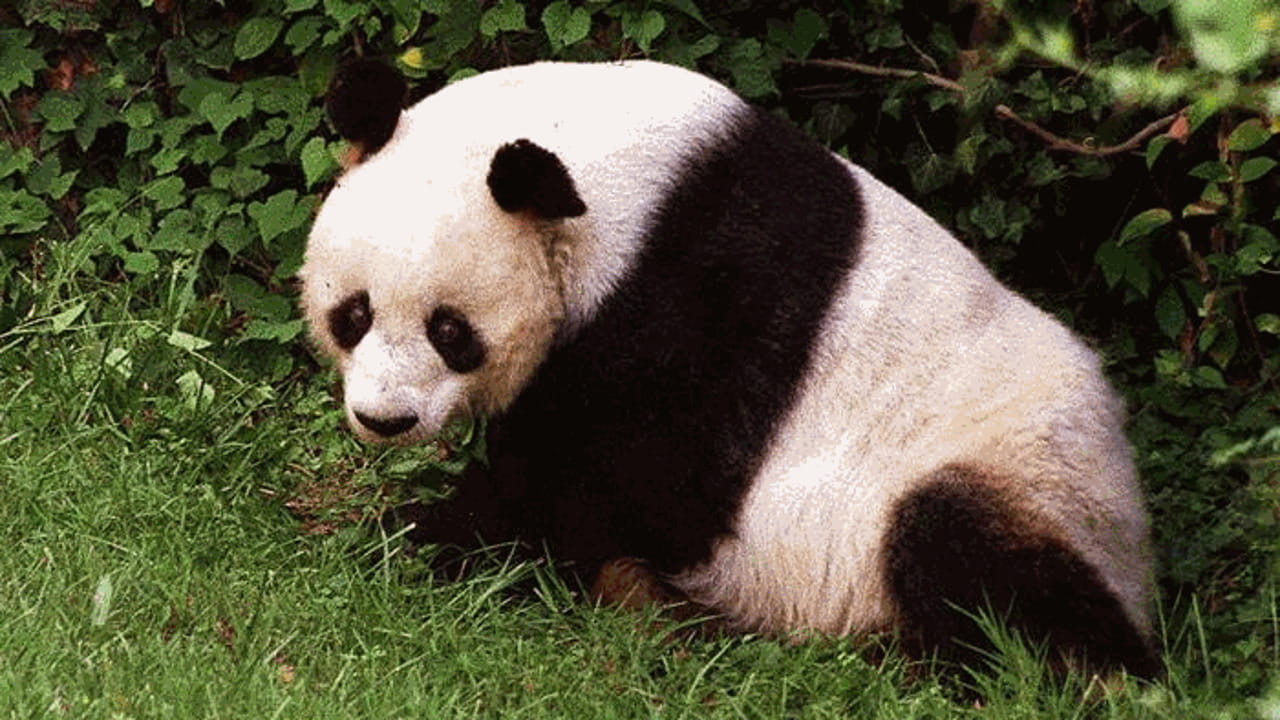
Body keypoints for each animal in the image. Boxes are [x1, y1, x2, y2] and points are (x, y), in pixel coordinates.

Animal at [301, 58, 1159, 676]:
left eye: (451, 331)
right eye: (355, 314)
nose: (385, 418)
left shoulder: (697, 301)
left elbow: (624, 477)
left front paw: (419, 536)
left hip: (1025, 472)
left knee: (968, 551)